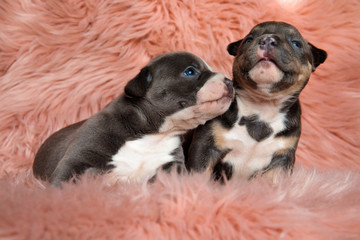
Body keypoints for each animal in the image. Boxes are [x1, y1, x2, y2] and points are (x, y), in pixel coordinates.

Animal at [32, 52, 232, 186]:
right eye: (190, 72)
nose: (229, 81)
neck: (151, 133)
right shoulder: (78, 157)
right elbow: (62, 181)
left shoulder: (172, 165)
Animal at [187, 21, 328, 181]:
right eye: (249, 40)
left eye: (296, 43)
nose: (268, 39)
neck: (262, 106)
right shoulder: (205, 147)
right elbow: (200, 174)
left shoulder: (281, 160)